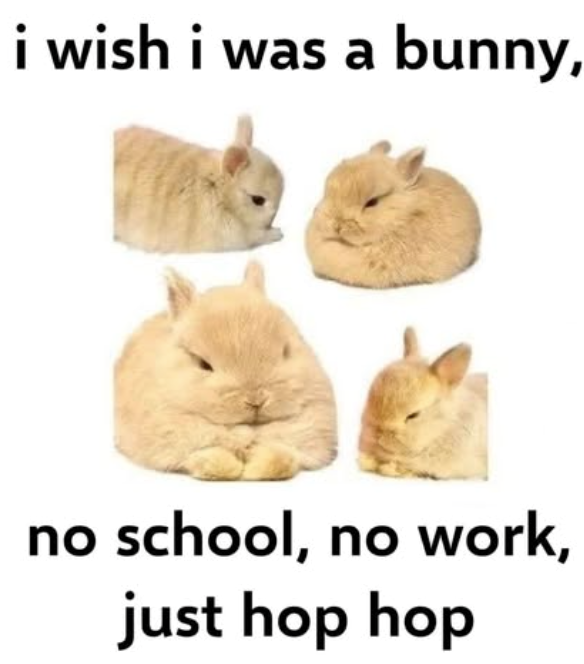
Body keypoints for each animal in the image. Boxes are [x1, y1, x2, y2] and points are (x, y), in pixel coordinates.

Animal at [114, 115, 284, 253]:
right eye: (258, 200)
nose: (272, 219)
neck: (218, 190)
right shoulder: (235, 234)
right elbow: (257, 236)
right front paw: (277, 233)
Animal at [114, 261, 337, 481]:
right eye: (204, 364)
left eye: (285, 352)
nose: (256, 400)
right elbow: (206, 454)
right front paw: (229, 467)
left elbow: (281, 458)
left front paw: (255, 469)